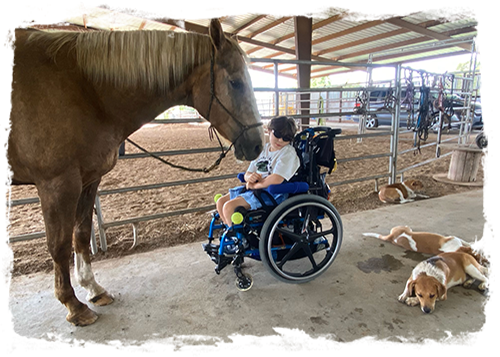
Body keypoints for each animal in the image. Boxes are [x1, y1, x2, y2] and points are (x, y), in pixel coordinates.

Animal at [1, 14, 266, 326]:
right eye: (235, 83)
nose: (257, 145)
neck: (82, 88)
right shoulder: (56, 184)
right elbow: (60, 245)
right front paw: (73, 305)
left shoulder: (87, 180)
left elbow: (81, 233)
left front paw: (93, 289)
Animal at [362, 225, 494, 264]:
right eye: (479, 256)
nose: (491, 264)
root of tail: (392, 237)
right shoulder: (454, 238)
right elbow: (466, 243)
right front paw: (472, 244)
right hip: (404, 227)